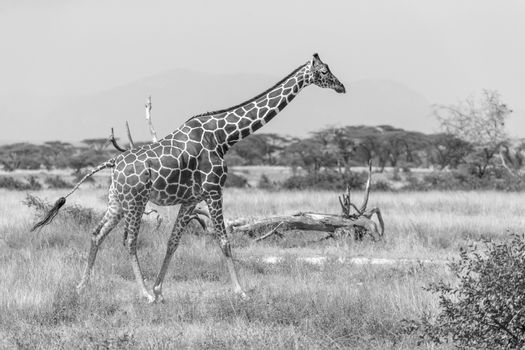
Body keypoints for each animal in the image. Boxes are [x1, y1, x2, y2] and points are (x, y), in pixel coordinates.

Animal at [31, 53, 344, 302]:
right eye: (323, 71)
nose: (342, 86)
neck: (224, 137)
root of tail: (114, 161)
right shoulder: (214, 190)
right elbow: (224, 240)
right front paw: (240, 291)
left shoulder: (192, 199)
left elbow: (173, 242)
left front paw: (159, 290)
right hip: (136, 200)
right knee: (128, 240)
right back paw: (142, 294)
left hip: (116, 200)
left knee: (97, 233)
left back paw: (82, 287)